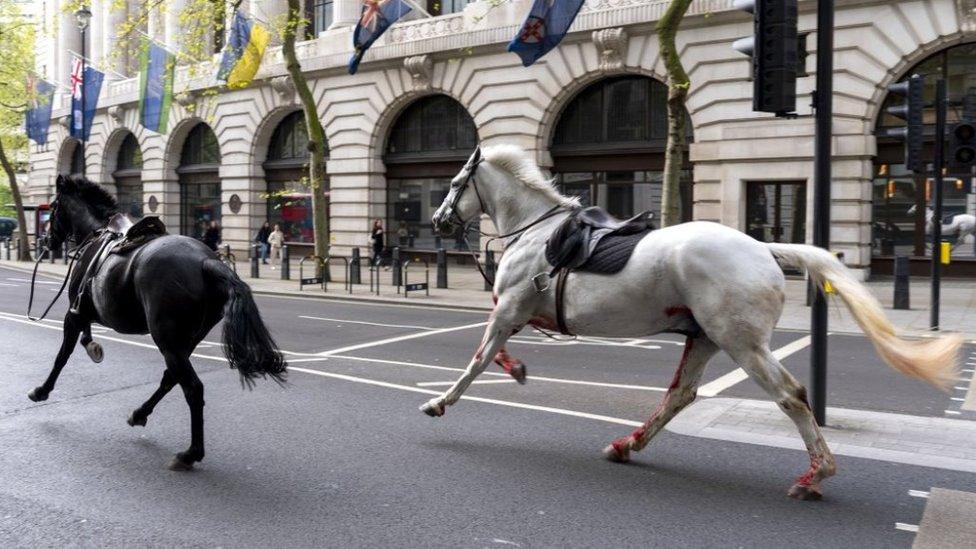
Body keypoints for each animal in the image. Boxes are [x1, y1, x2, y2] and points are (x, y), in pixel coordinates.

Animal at [32, 176, 284, 470]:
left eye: (53, 208)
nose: (45, 240)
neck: (96, 234)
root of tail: (207, 261)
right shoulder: (84, 312)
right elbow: (84, 336)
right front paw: (93, 348)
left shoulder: (74, 313)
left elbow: (62, 356)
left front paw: (42, 390)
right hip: (185, 340)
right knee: (170, 378)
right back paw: (140, 414)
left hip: (167, 338)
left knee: (192, 388)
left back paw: (190, 453)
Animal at [422, 143, 960, 498]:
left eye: (454, 183)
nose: (438, 221)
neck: (537, 231)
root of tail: (765, 249)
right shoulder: (516, 311)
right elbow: (496, 353)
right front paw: (516, 369)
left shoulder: (509, 308)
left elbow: (478, 359)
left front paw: (440, 402)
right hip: (704, 337)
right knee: (680, 395)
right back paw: (627, 444)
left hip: (741, 342)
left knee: (791, 396)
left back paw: (816, 474)